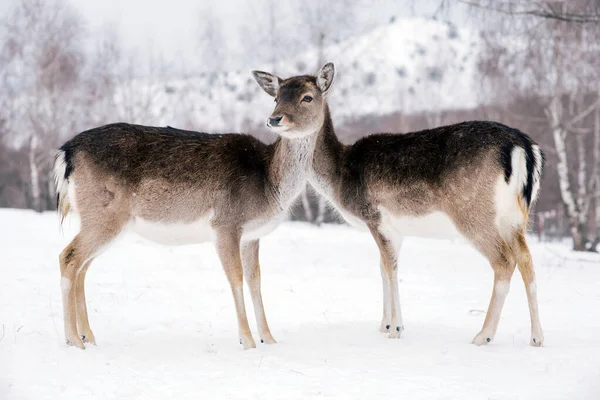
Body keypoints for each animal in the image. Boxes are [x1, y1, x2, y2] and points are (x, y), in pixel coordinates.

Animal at [53, 63, 338, 350]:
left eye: (307, 98)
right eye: (276, 98)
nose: (275, 119)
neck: (269, 183)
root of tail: (67, 153)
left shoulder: (252, 235)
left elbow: (255, 280)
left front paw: (268, 338)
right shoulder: (225, 224)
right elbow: (235, 277)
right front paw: (247, 341)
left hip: (101, 220)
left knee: (82, 266)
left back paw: (88, 336)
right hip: (104, 214)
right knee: (68, 257)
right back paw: (72, 339)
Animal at [255, 64, 548, 346]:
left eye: (307, 97)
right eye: (276, 98)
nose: (274, 119)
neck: (340, 177)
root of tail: (523, 148)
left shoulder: (375, 217)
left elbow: (390, 267)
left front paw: (396, 329)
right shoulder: (393, 229)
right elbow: (383, 268)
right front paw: (384, 325)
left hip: (474, 212)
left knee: (504, 260)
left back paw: (483, 335)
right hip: (516, 216)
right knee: (527, 260)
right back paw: (537, 337)